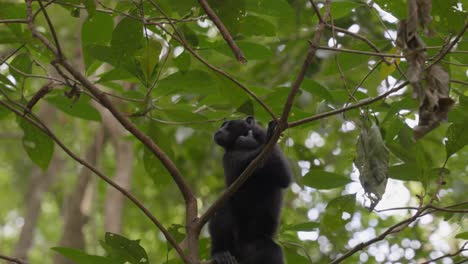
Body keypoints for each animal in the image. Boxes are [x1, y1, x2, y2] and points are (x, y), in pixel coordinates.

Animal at [209, 116, 290, 262]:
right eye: (223, 125)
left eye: (227, 124)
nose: (219, 130)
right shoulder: (227, 157)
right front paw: (265, 139)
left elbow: (284, 176)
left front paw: (265, 135)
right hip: (234, 245)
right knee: (224, 207)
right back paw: (219, 252)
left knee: (274, 251)